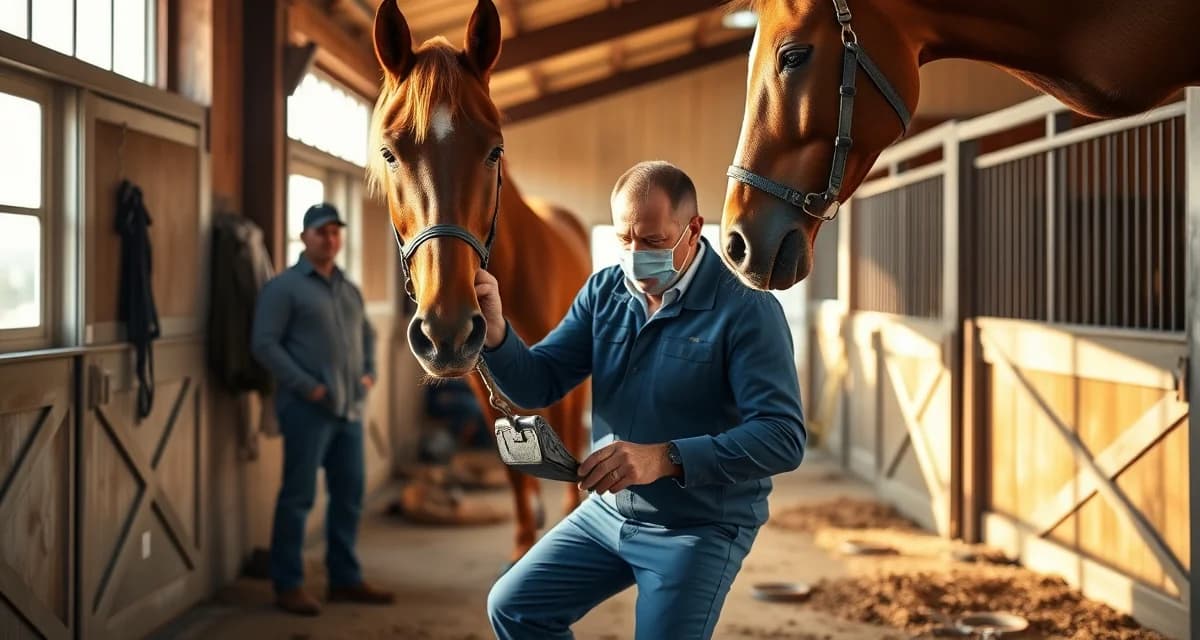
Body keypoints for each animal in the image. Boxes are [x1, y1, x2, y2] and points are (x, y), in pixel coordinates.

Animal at [369, 0, 591, 563]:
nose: (446, 332)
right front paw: (523, 543)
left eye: (495, 150)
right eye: (389, 153)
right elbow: (515, 471)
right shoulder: (480, 380)